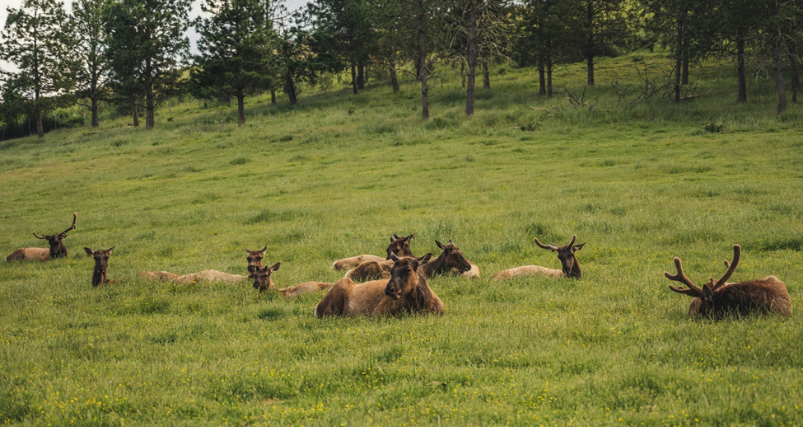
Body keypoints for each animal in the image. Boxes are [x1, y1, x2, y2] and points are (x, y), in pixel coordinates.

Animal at [314, 252, 442, 320]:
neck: (423, 306)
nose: (389, 290)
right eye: (391, 270)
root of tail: (316, 307)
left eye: (408, 269)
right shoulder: (378, 313)